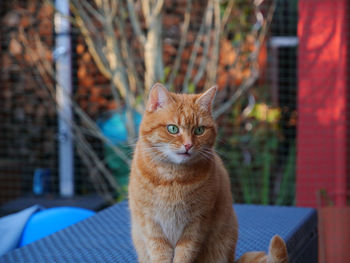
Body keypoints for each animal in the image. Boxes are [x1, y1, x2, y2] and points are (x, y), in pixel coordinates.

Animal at [129, 83, 288, 262]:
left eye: (199, 130)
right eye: (173, 129)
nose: (188, 145)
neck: (173, 178)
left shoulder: (196, 224)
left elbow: (184, 255)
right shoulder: (151, 226)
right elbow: (160, 255)